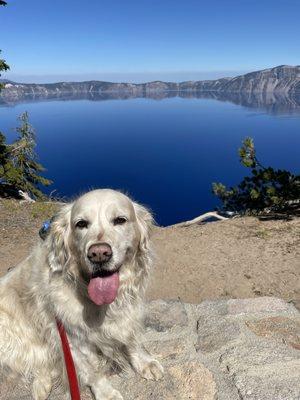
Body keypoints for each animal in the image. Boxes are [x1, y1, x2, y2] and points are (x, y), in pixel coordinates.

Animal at [0, 189, 164, 398]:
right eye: (81, 224)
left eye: (120, 220)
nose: (99, 253)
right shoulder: (71, 338)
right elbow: (92, 372)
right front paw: (106, 393)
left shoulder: (129, 313)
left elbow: (132, 340)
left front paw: (145, 362)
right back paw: (41, 386)